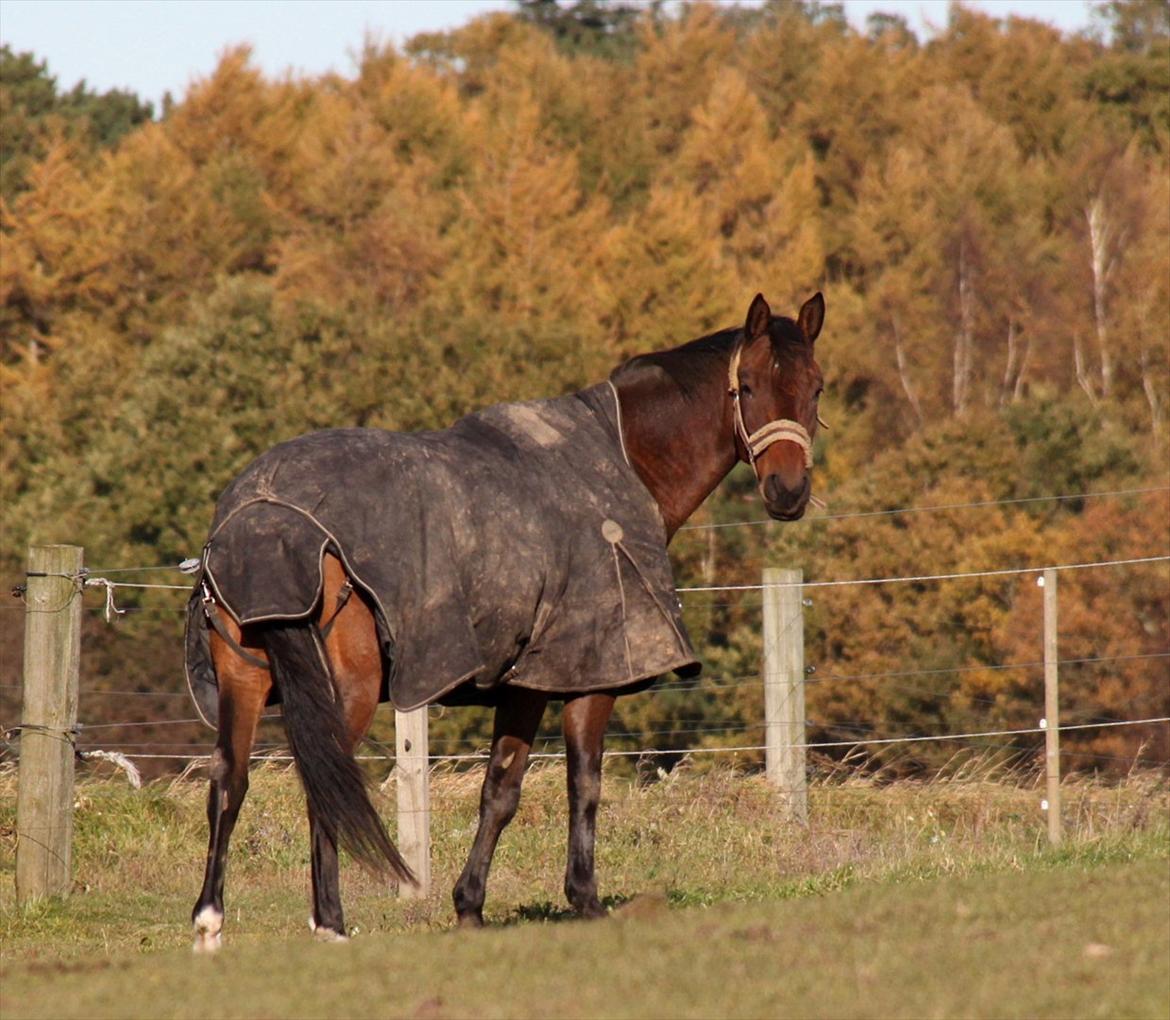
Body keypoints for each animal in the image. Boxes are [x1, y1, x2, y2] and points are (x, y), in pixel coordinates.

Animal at [187, 288, 828, 949]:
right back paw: (330, 922)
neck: (623, 457)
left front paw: (469, 906)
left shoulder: (525, 682)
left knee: (229, 780)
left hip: (243, 680)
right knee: (326, 781)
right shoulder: (588, 676)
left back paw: (210, 922)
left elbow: (499, 790)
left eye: (816, 387)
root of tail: (264, 514)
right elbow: (582, 784)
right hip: (350, 688)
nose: (787, 491)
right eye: (747, 386)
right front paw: (584, 898)